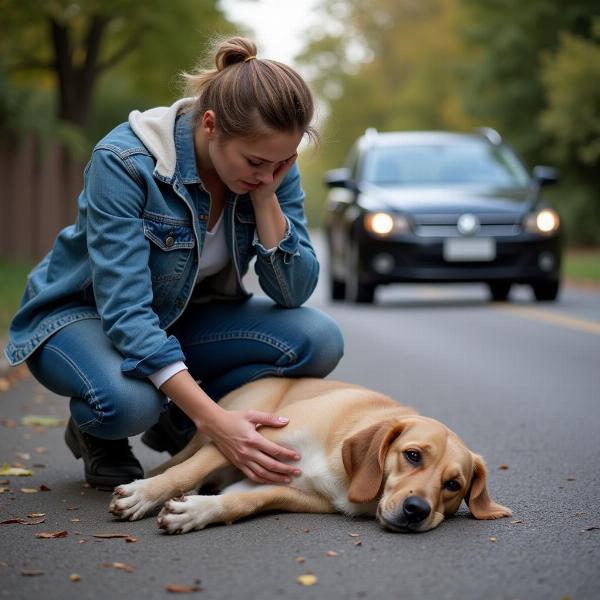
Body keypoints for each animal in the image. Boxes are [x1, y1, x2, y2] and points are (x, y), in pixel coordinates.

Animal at [108, 378, 510, 532]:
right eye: (412, 456)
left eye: (453, 485)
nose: (416, 511)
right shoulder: (250, 438)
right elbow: (185, 474)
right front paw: (143, 495)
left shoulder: (286, 491)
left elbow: (241, 502)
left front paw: (196, 512)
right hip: (214, 432)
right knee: (180, 465)